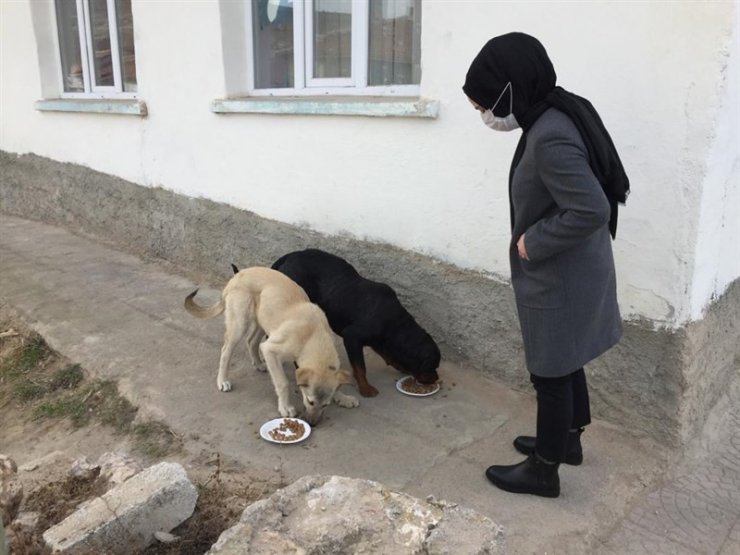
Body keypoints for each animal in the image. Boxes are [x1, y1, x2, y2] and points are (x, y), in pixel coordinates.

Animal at [184, 268, 358, 424]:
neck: (314, 336)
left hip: (264, 321)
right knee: (226, 350)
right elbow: (282, 382)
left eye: (325, 405)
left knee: (251, 341)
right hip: (240, 324)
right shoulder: (271, 350)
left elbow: (336, 385)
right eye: (310, 402)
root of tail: (237, 275)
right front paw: (285, 407)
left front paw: (343, 397)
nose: (313, 424)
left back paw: (258, 363)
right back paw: (222, 380)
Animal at [264, 250, 442, 398]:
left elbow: (385, 352)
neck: (396, 325)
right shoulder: (352, 336)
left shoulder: (379, 340)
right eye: (432, 365)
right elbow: (360, 367)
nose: (436, 378)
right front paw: (365, 388)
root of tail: (289, 256)